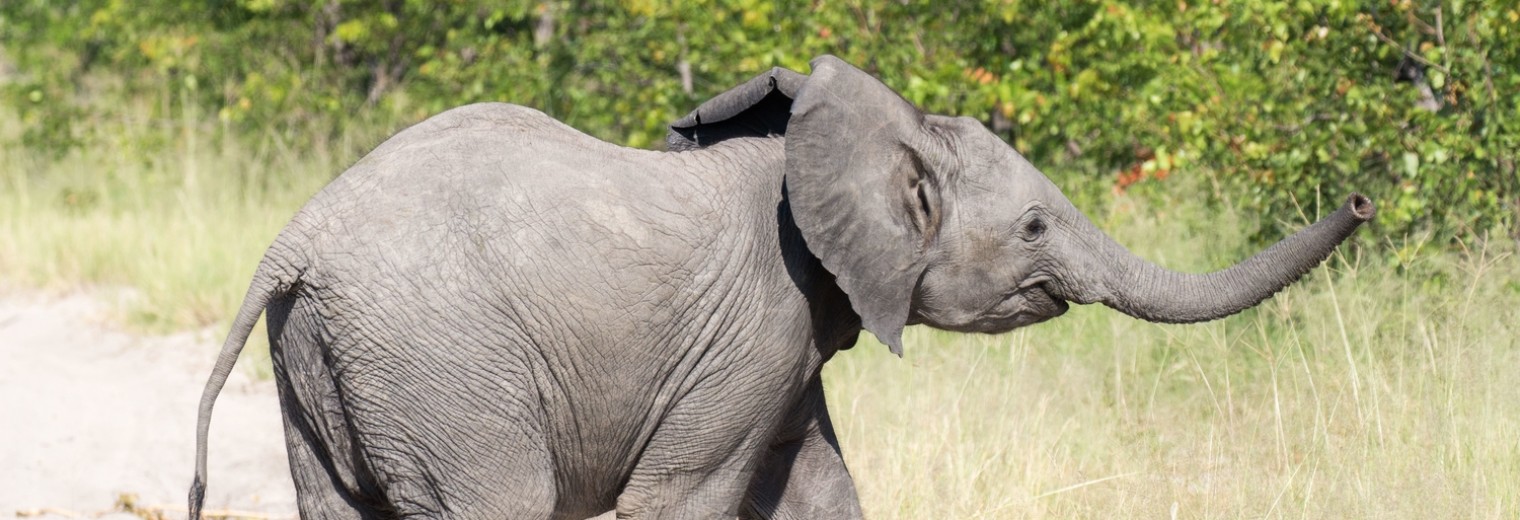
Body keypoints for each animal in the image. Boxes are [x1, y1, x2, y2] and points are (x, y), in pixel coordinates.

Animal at [190, 54, 1380, 516]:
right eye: (1037, 225)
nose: (1366, 200)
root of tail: (295, 238)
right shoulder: (754, 325)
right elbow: (687, 501)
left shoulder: (792, 343)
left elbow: (816, 489)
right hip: (441, 364)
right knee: (499, 502)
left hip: (329, 356)